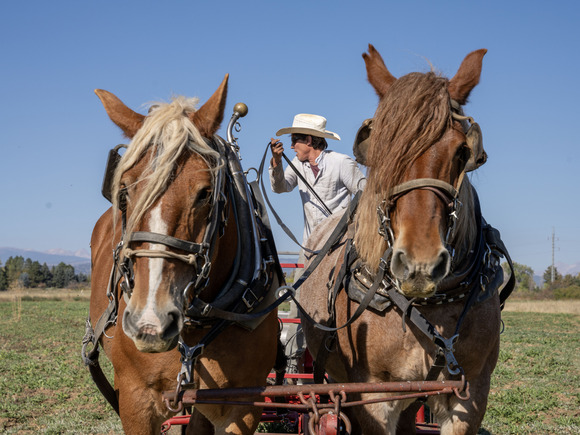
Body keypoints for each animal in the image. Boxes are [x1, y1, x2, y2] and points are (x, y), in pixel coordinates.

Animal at [302, 45, 510, 435]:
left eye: (462, 152)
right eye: (379, 149)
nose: (419, 264)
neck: (429, 308)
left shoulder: (472, 392)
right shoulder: (372, 396)